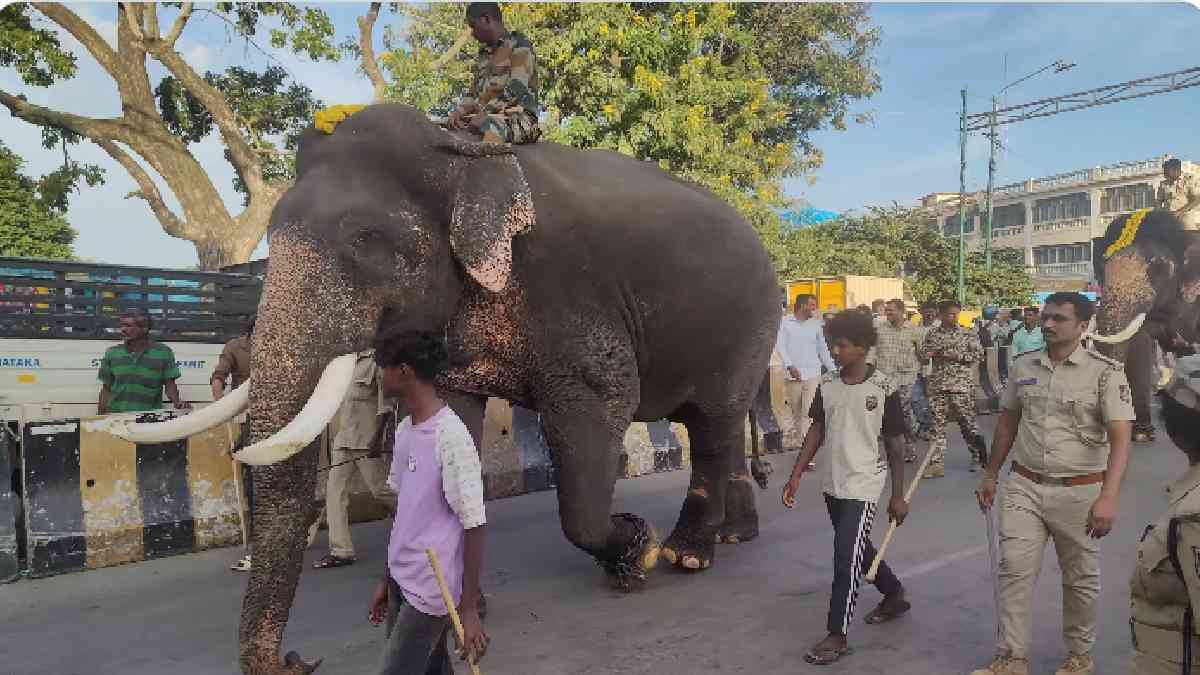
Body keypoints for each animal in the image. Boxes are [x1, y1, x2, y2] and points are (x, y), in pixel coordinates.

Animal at [116, 103, 780, 673]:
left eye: (363, 239)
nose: (298, 660)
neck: (461, 152)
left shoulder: (573, 293)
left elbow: (603, 401)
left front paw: (635, 552)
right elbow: (455, 413)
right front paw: (462, 603)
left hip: (748, 325)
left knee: (714, 425)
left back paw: (688, 555)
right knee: (717, 428)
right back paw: (733, 535)